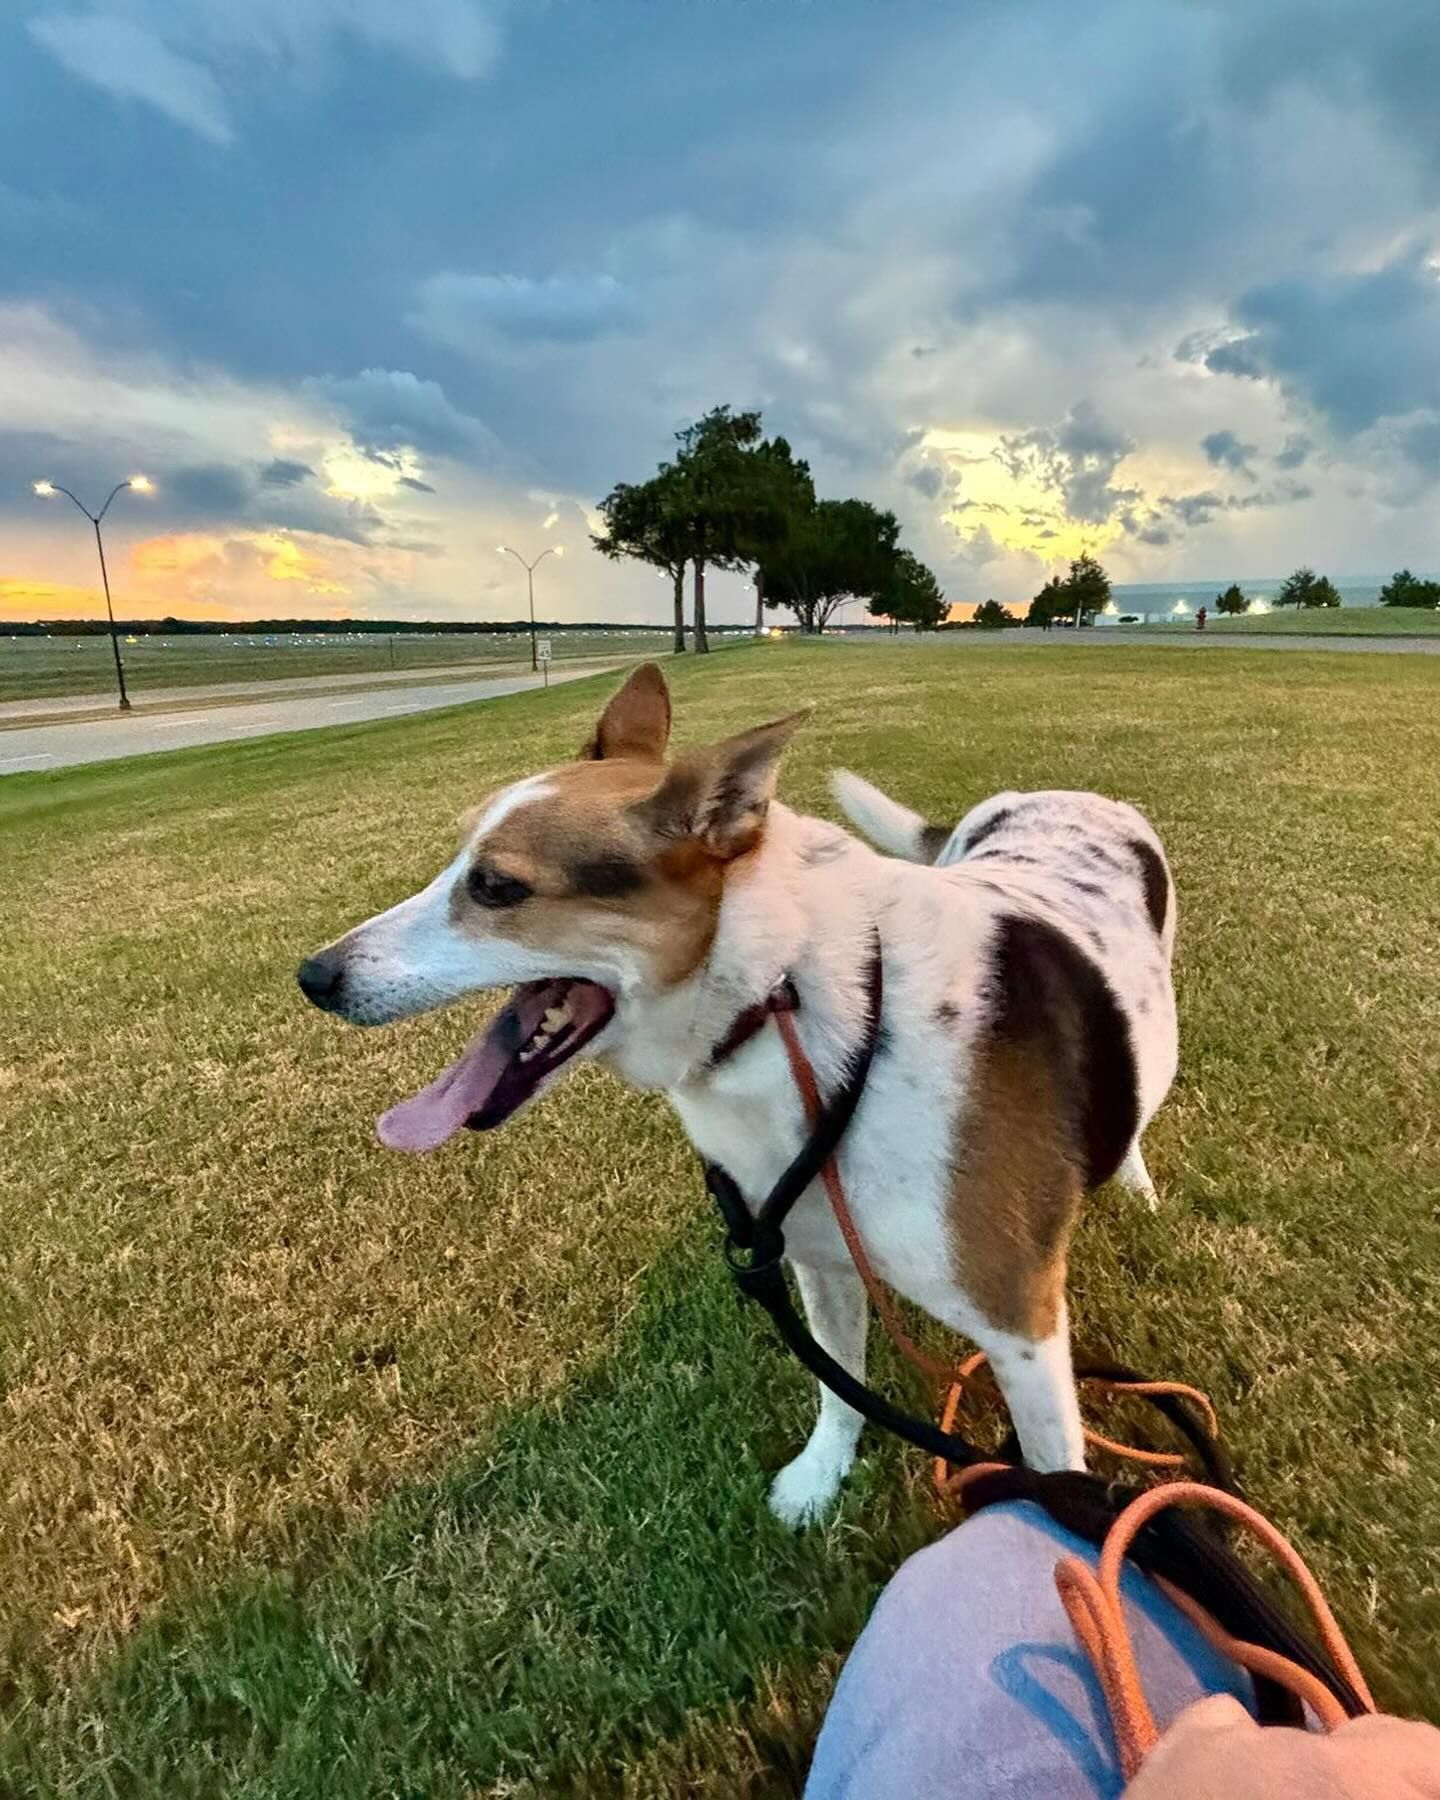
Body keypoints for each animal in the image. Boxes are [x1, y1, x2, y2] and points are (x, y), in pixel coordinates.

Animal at [298, 669, 1173, 1526]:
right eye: (458, 863)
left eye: (495, 887)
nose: (313, 977)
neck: (789, 999)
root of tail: (1063, 793)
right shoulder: (818, 1256)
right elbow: (840, 1387)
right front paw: (821, 1478)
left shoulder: (1019, 1324)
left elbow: (1057, 1480)